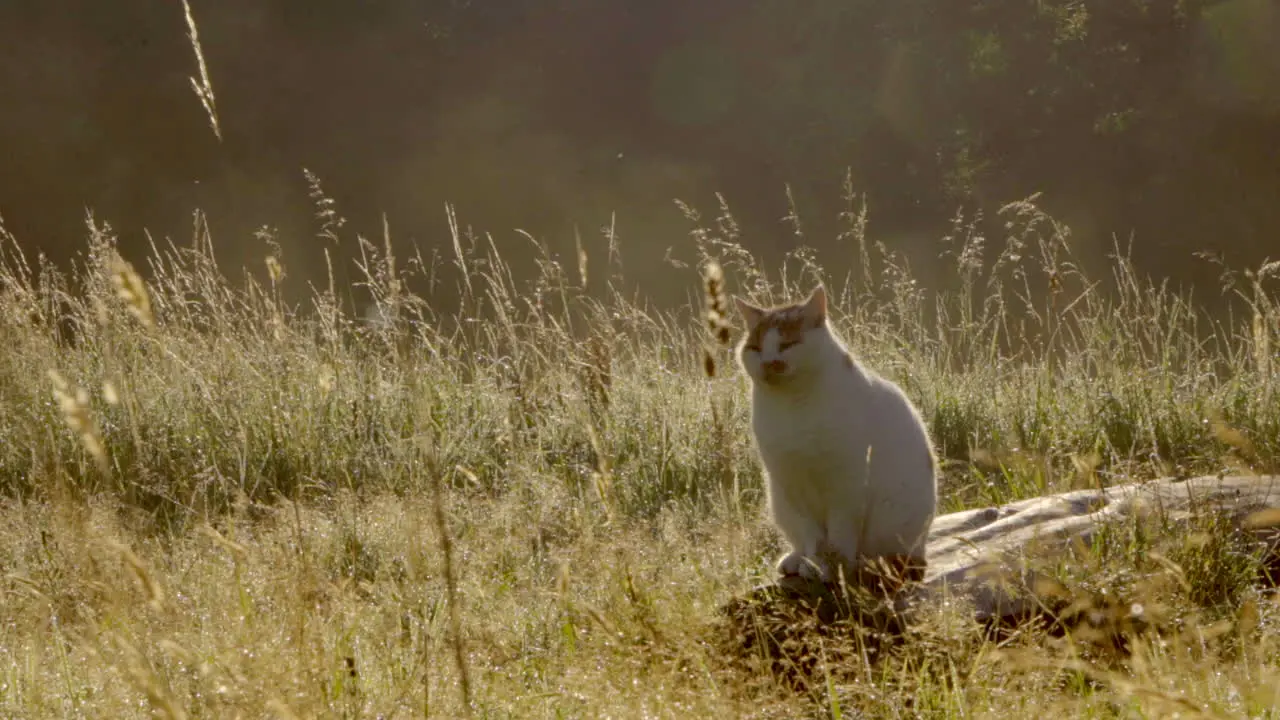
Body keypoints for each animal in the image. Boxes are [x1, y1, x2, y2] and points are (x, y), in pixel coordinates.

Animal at [737, 284, 936, 589]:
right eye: (755, 349)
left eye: (787, 344)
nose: (769, 363)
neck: (793, 406)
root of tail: (920, 551)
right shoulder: (791, 484)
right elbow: (813, 537)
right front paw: (815, 565)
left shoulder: (846, 485)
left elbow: (839, 538)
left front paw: (836, 568)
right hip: (778, 500)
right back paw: (795, 560)